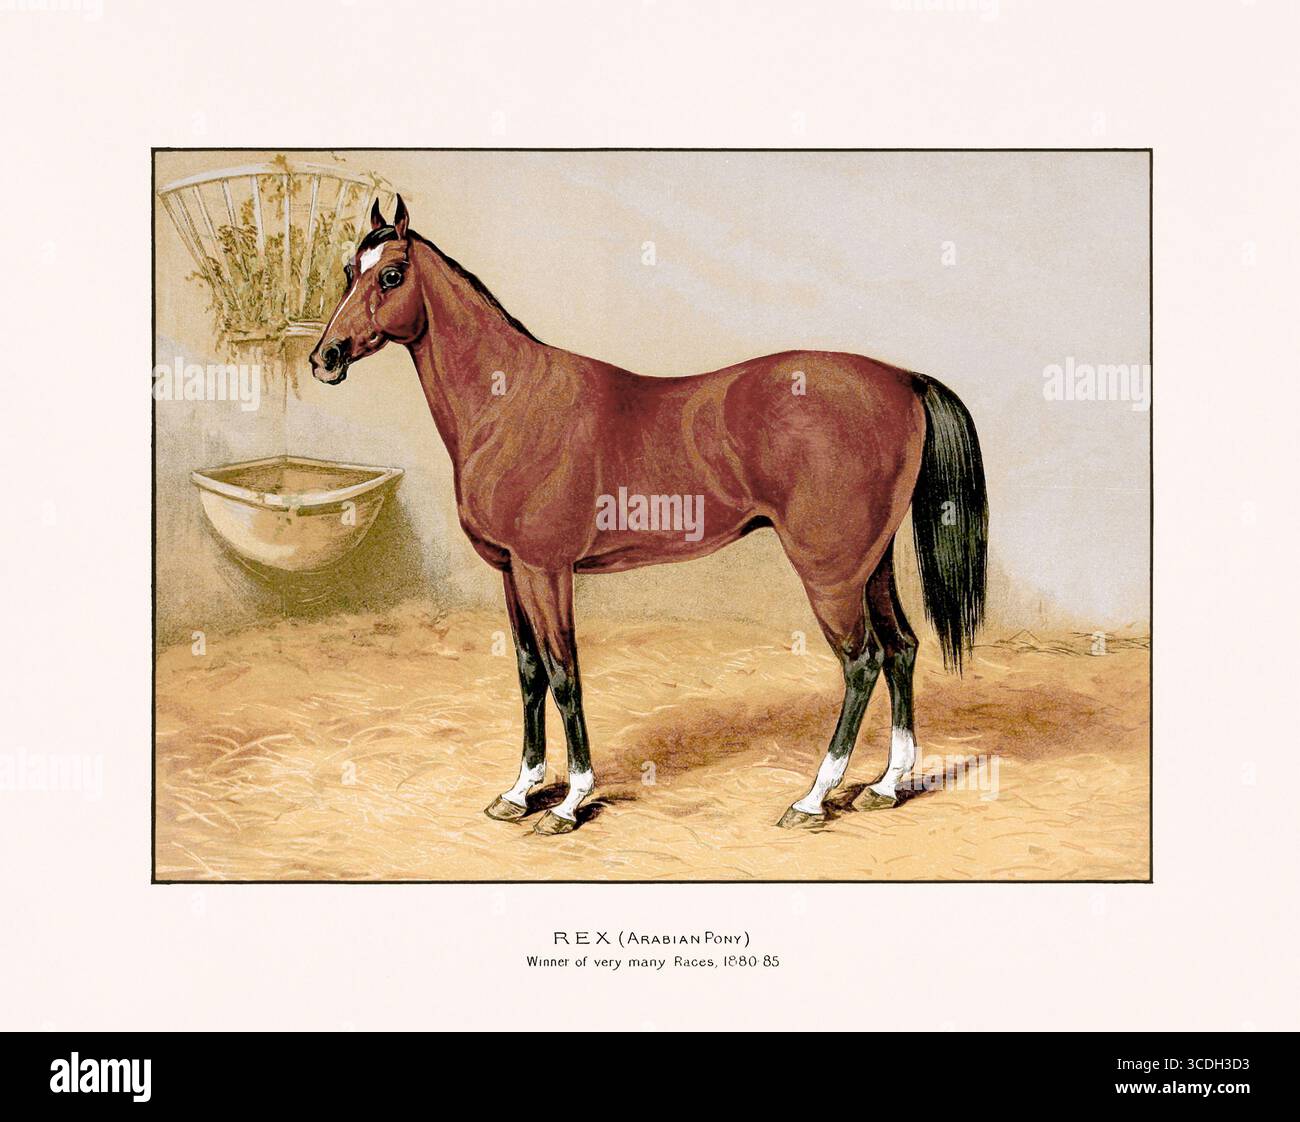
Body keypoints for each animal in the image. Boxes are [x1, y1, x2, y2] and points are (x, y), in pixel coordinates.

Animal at [310, 196, 987, 836]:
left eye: (391, 275)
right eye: (348, 271)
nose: (326, 357)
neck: (512, 404)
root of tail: (903, 379)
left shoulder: (546, 570)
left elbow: (563, 673)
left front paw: (570, 801)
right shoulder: (511, 572)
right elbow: (529, 673)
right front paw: (520, 792)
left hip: (830, 573)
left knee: (861, 661)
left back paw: (813, 798)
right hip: (869, 565)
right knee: (900, 649)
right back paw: (885, 786)